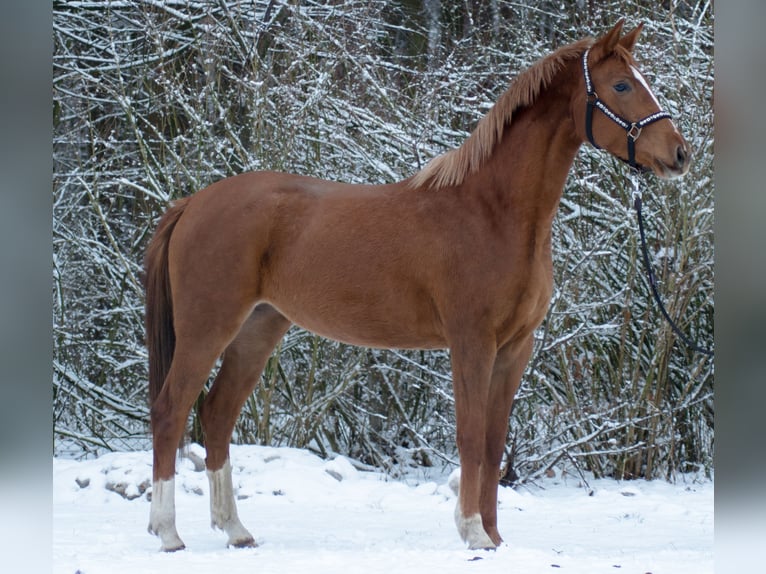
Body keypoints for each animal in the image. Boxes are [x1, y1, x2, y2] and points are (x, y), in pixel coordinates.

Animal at [142, 21, 688, 552]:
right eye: (622, 85)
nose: (679, 153)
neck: (492, 213)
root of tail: (192, 203)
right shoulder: (472, 343)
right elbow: (470, 436)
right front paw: (471, 532)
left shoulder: (515, 348)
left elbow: (494, 444)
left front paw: (494, 538)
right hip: (207, 328)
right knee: (171, 411)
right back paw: (168, 533)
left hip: (257, 330)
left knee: (216, 415)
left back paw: (235, 529)